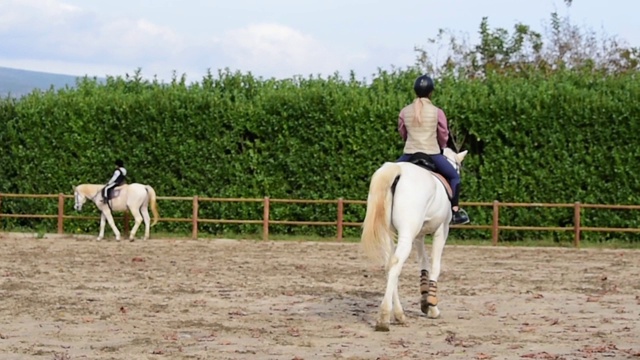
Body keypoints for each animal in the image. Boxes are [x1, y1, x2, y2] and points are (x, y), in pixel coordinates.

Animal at [360, 147, 470, 332]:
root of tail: (398, 171)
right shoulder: (441, 231)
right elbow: (435, 266)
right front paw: (432, 306)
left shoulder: (418, 235)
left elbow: (423, 263)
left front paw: (425, 299)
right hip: (406, 233)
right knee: (396, 264)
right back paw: (384, 318)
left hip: (389, 234)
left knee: (389, 266)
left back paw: (399, 315)